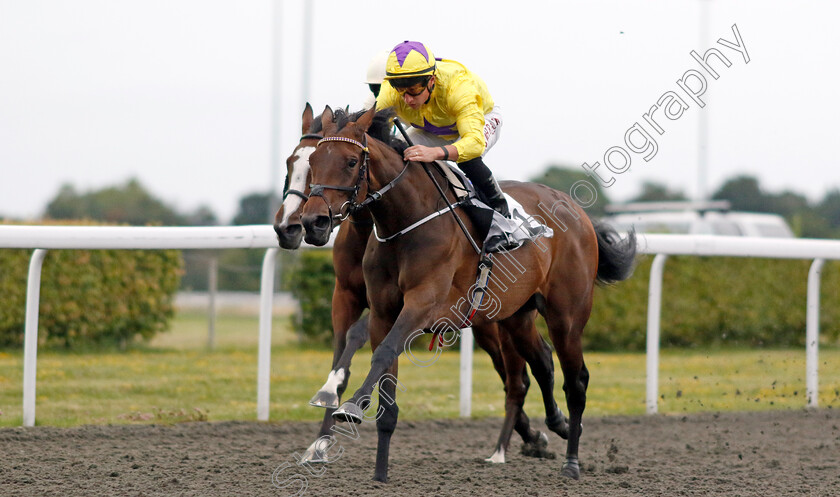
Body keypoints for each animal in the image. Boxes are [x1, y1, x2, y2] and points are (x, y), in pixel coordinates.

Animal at [298, 105, 632, 480]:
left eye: (352, 161)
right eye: (313, 162)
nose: (313, 222)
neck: (405, 222)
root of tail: (576, 210)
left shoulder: (424, 304)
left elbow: (382, 352)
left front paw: (353, 406)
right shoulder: (381, 311)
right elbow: (384, 379)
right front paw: (378, 472)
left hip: (567, 316)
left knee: (576, 382)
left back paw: (571, 462)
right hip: (516, 315)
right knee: (542, 362)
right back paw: (556, 424)